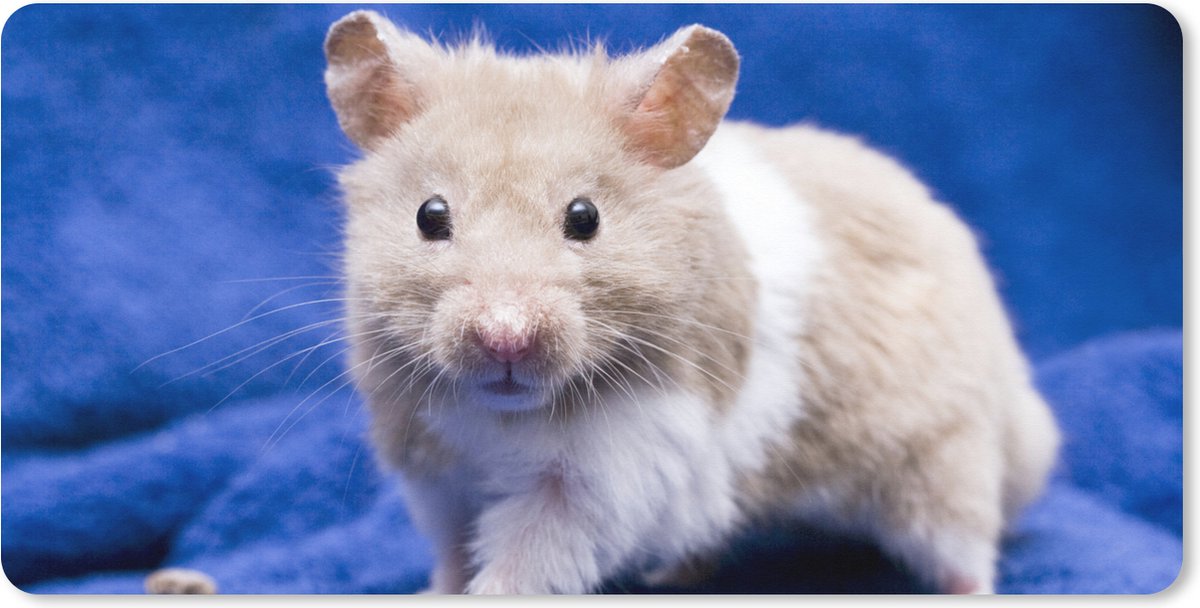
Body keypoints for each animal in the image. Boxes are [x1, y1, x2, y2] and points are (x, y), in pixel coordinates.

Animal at [323, 10, 1060, 595]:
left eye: (585, 218)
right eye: (430, 215)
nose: (505, 338)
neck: (503, 416)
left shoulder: (600, 480)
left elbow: (525, 562)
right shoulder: (433, 467)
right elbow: (452, 551)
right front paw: (434, 594)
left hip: (943, 453)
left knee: (964, 537)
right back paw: (671, 574)